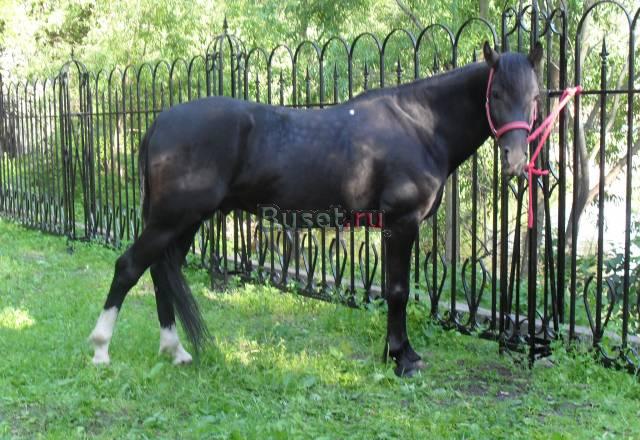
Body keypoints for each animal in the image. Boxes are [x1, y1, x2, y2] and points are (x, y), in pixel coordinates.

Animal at [89, 41, 542, 377]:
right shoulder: (401, 223)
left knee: (161, 273)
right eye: (496, 94)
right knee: (129, 267)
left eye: (535, 97)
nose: (516, 160)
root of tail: (158, 123)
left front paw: (395, 353)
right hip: (172, 219)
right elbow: (397, 291)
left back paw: (175, 350)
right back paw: (101, 349)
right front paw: (403, 358)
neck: (418, 124)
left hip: (185, 223)